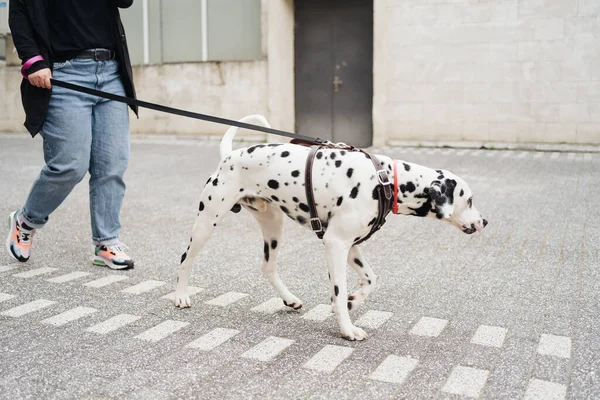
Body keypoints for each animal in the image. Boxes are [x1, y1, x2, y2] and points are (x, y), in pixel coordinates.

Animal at [175, 115, 488, 340]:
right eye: (470, 199)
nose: (485, 221)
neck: (384, 180)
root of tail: (228, 157)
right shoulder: (335, 244)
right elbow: (338, 290)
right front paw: (347, 328)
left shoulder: (350, 246)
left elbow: (370, 279)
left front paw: (352, 301)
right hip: (207, 222)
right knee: (185, 259)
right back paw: (181, 296)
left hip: (273, 226)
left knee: (268, 266)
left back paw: (289, 299)